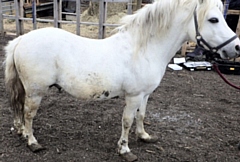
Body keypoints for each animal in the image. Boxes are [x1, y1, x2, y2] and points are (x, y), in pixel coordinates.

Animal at [3, 0, 240, 161]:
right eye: (213, 19)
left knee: (20, 112)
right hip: (36, 92)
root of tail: (21, 40)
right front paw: (125, 150)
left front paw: (144, 136)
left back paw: (23, 133)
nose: (236, 47)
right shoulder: (133, 96)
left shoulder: (145, 95)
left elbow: (141, 116)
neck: (142, 49)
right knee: (28, 114)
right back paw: (33, 142)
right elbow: (127, 121)